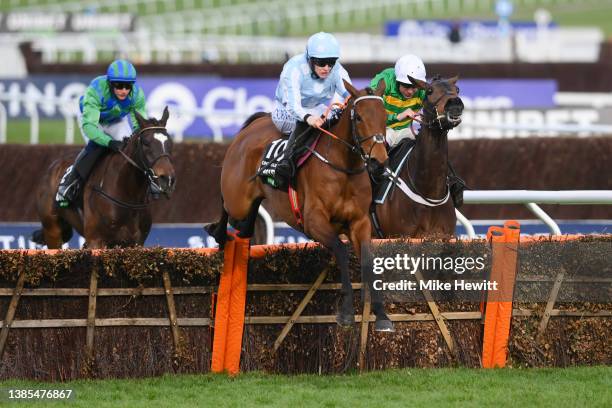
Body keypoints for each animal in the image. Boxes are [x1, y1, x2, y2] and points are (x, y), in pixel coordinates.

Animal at [33, 107, 176, 249]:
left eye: (169, 142)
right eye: (146, 143)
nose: (167, 178)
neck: (128, 194)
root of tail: (52, 167)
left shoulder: (136, 242)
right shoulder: (95, 240)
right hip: (52, 230)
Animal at [208, 80, 394, 332]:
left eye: (385, 116)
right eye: (359, 118)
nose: (378, 163)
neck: (343, 168)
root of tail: (252, 126)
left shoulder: (360, 223)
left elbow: (367, 259)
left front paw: (382, 316)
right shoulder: (313, 222)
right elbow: (341, 249)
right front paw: (346, 312)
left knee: (246, 218)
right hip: (237, 197)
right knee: (226, 203)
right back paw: (217, 233)